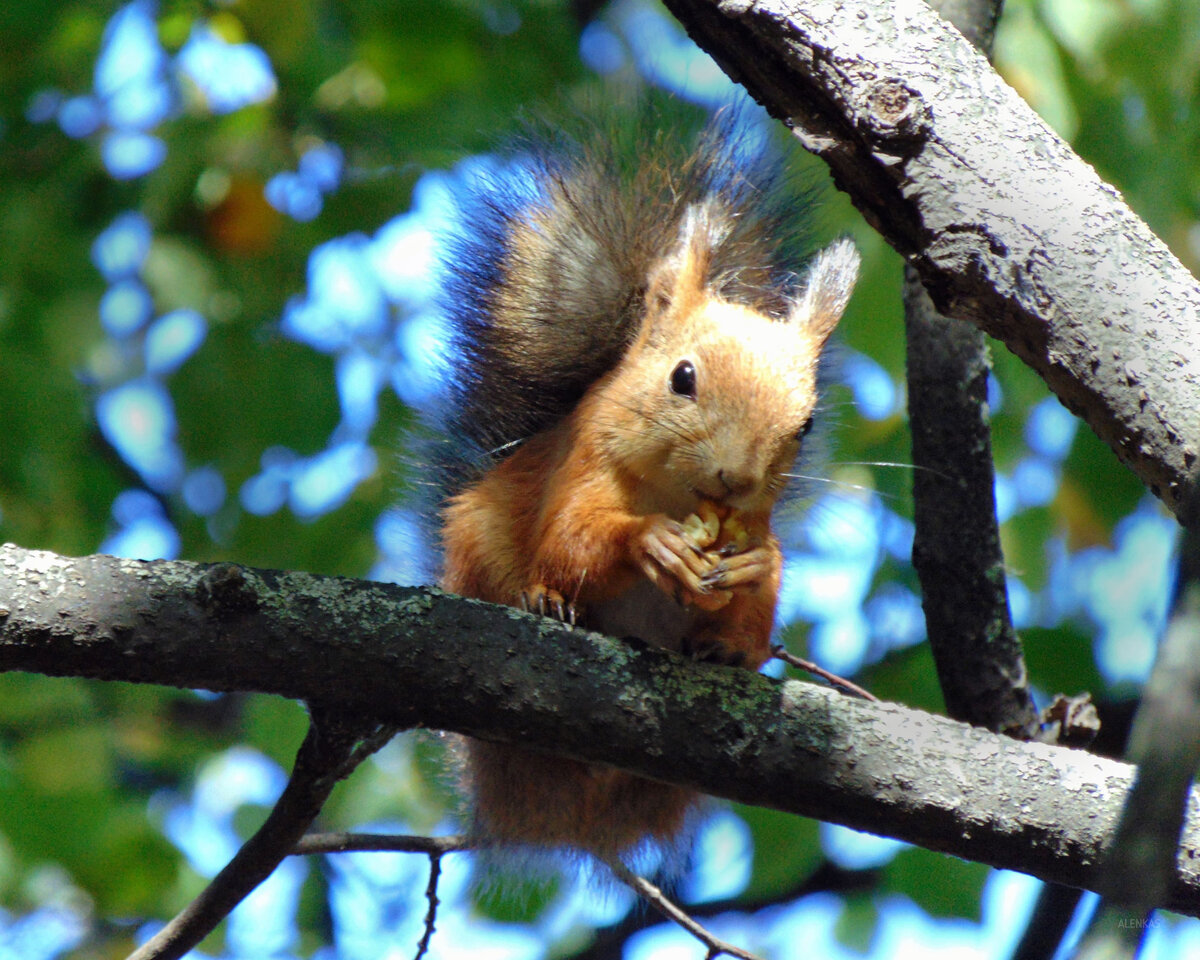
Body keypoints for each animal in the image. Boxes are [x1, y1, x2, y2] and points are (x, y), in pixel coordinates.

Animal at [435, 116, 860, 862]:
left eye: (806, 423)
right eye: (682, 377)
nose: (735, 476)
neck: (678, 497)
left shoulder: (754, 520)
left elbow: (763, 582)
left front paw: (752, 570)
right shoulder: (581, 464)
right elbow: (569, 540)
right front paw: (652, 544)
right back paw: (544, 603)